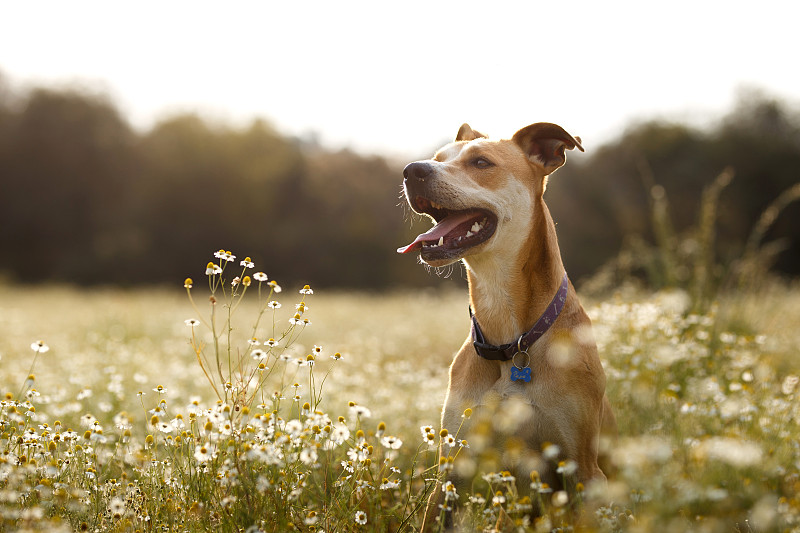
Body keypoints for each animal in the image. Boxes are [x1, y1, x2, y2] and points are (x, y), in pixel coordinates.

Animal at [396, 121, 616, 528]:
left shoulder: (582, 469)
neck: (510, 340)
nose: (412, 170)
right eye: (437, 158)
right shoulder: (452, 469)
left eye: (481, 162)